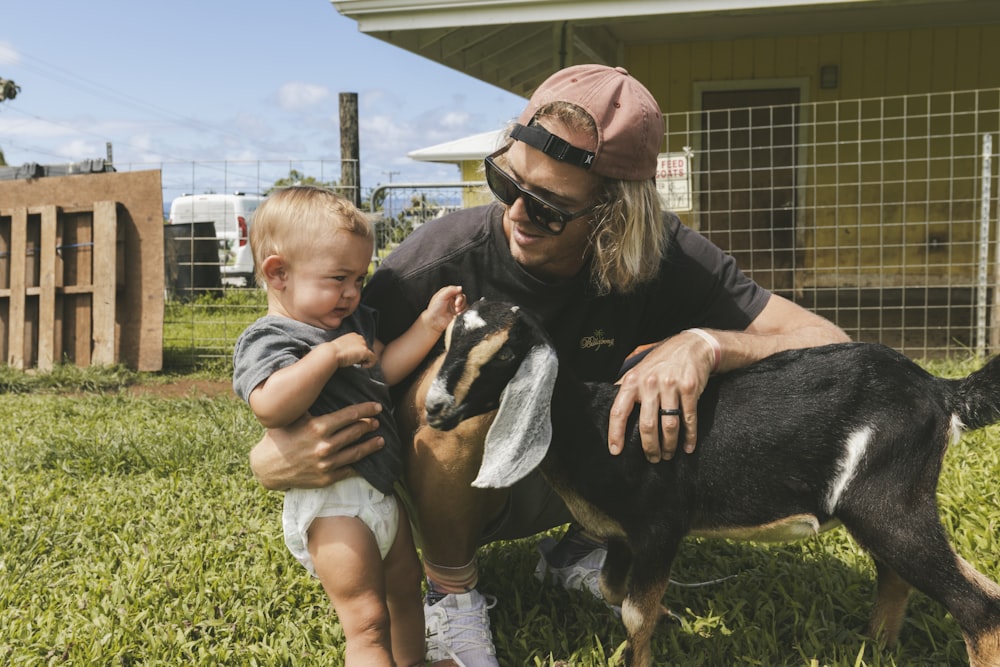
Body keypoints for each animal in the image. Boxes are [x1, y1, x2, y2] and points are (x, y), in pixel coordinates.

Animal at [418, 298, 1000, 667]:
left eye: (505, 354)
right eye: (445, 340)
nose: (435, 408)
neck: (596, 423)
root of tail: (939, 391)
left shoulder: (660, 525)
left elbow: (633, 612)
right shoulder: (625, 538)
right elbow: (615, 591)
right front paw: (659, 623)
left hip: (889, 503)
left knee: (977, 604)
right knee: (902, 577)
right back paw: (873, 650)